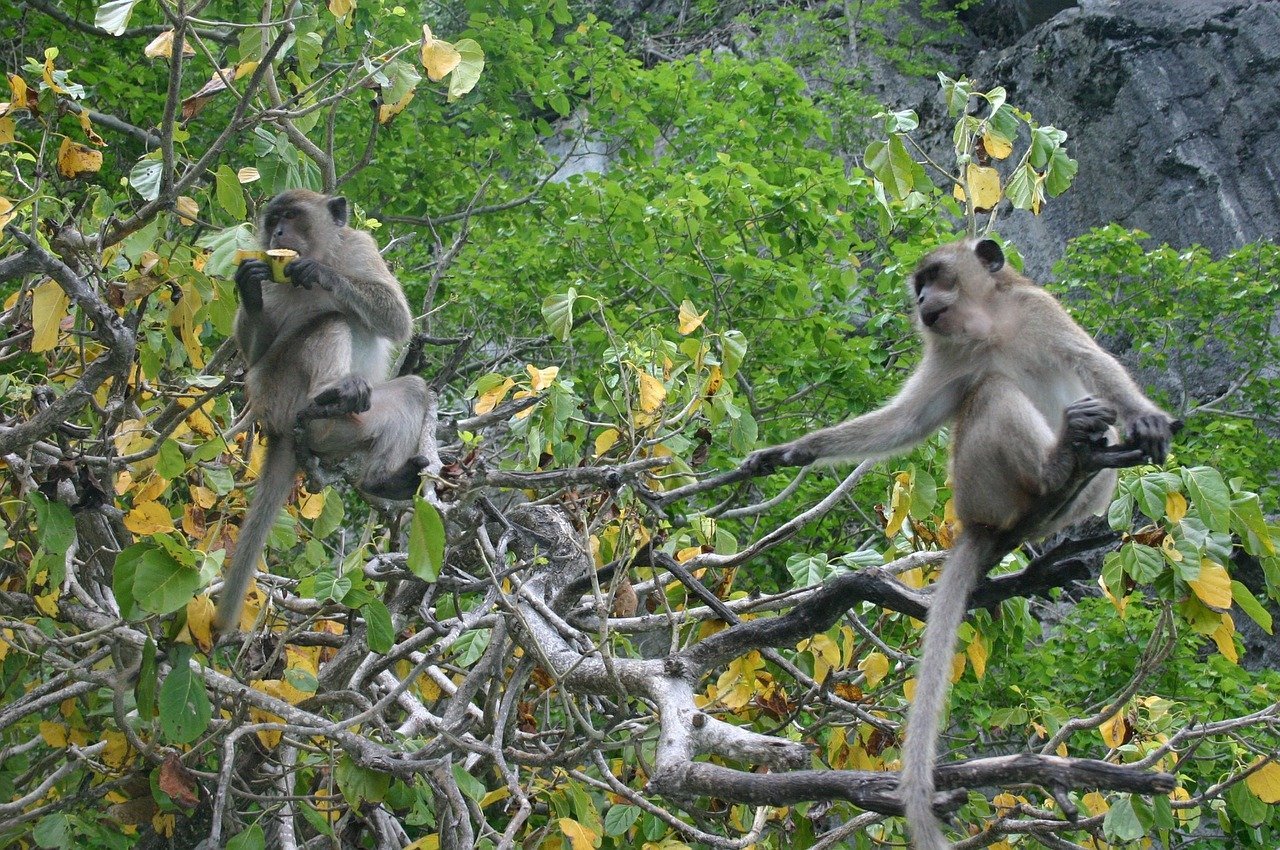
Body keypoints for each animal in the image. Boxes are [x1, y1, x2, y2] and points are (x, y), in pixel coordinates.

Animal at [212, 189, 427, 634]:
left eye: (292, 216)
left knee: (411, 390)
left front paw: (320, 274)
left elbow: (397, 319)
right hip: (280, 392)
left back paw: (381, 479)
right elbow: (253, 355)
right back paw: (332, 393)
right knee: (329, 323)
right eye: (273, 219)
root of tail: (277, 427)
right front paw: (249, 288)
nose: (277, 233)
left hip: (348, 424)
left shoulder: (361, 247)